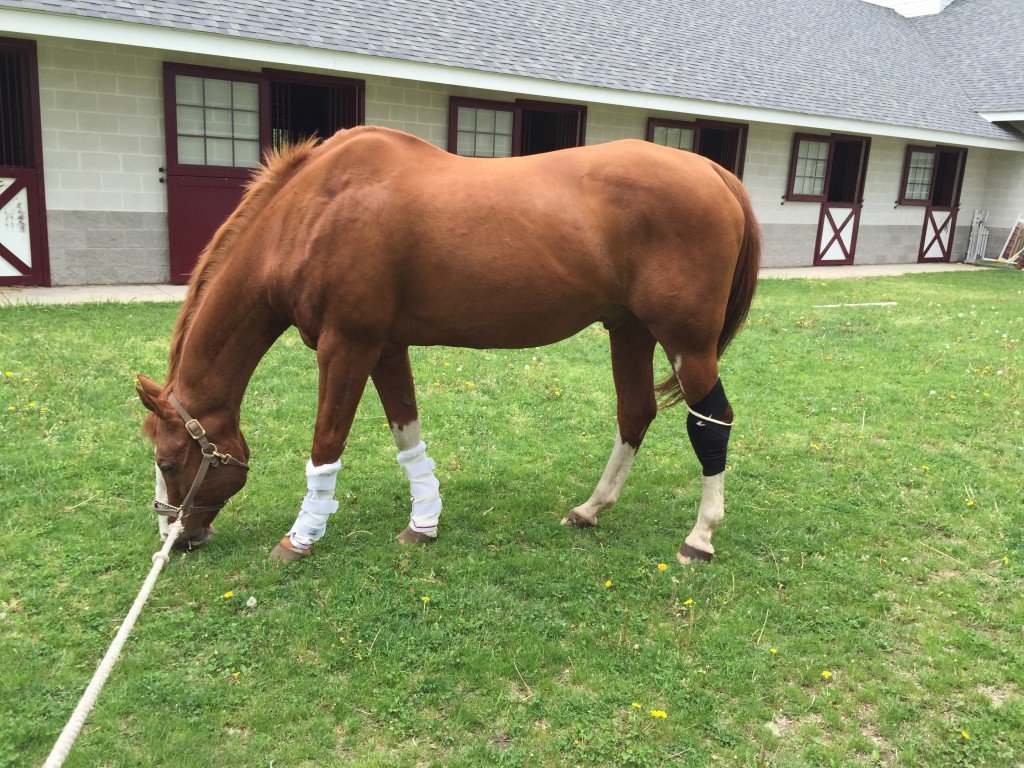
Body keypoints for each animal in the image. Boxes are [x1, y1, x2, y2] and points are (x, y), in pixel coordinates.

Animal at [136, 128, 757, 565]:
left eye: (168, 460)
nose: (175, 538)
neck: (316, 212)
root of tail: (711, 170)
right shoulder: (385, 348)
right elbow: (407, 436)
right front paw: (423, 523)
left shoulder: (346, 346)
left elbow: (326, 443)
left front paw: (301, 537)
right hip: (630, 329)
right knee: (635, 412)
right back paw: (590, 509)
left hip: (687, 340)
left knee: (713, 421)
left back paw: (700, 536)